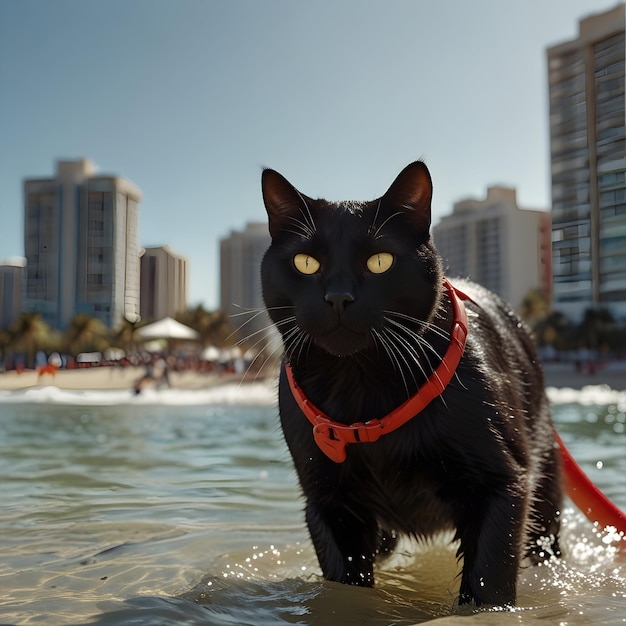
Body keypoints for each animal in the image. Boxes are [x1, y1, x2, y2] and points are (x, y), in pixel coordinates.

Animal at [258, 161, 560, 604]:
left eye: (380, 261)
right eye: (306, 263)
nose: (338, 297)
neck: (362, 390)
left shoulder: (503, 485)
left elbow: (488, 584)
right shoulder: (328, 504)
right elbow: (344, 588)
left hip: (545, 488)